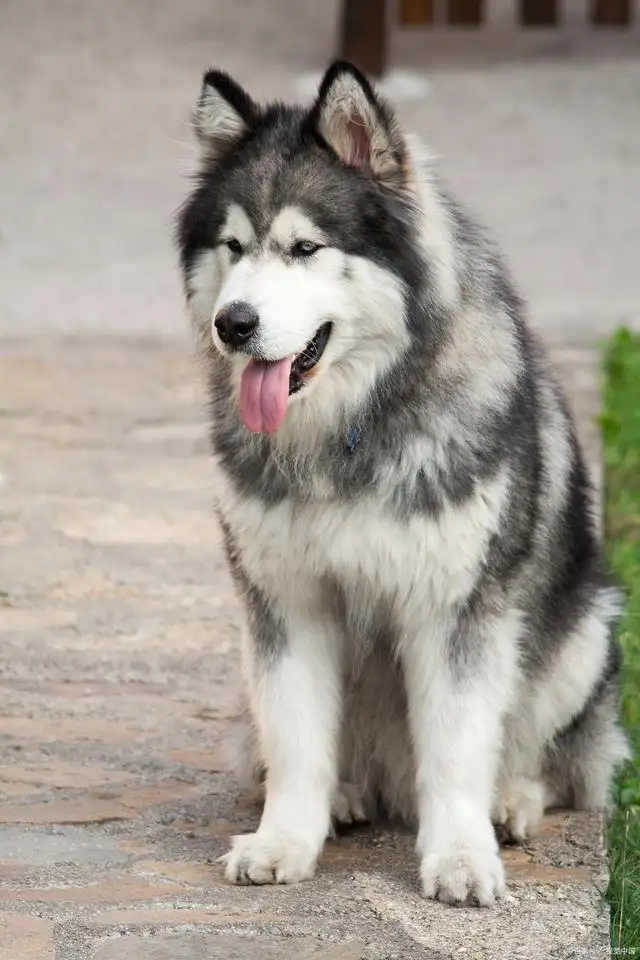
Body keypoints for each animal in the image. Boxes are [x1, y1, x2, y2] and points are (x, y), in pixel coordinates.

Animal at [178, 62, 628, 908]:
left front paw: (461, 855)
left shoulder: (456, 612)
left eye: (305, 248)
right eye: (233, 246)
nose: (234, 324)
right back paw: (349, 793)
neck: (352, 426)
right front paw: (286, 840)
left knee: (554, 762)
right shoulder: (286, 604)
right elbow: (297, 745)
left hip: (584, 636)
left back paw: (510, 799)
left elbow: (455, 751)